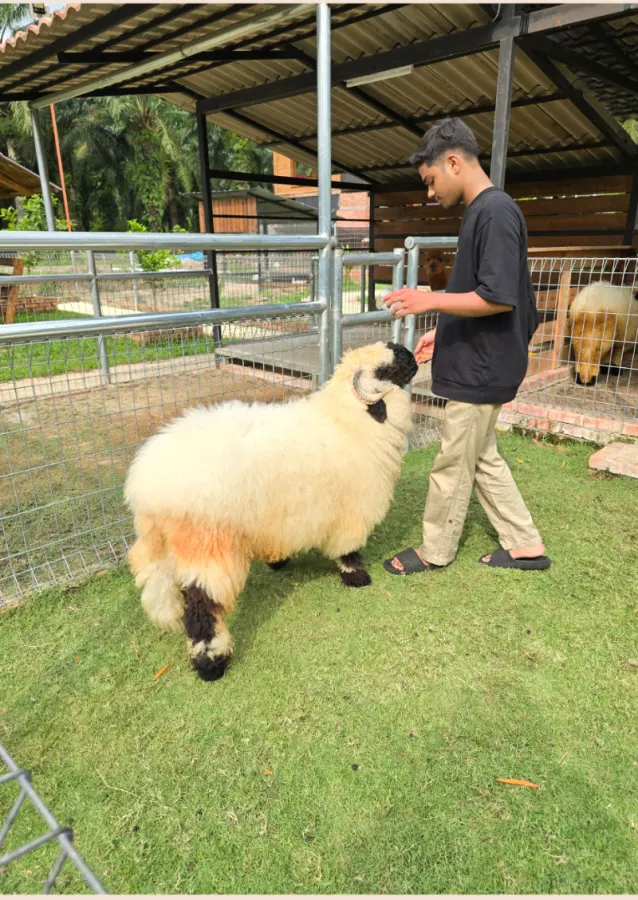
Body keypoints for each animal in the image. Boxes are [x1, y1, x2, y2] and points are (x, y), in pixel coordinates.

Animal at [124, 341, 418, 682]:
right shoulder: (352, 513)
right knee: (202, 607)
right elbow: (348, 549)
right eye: (387, 368)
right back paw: (211, 663)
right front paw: (356, 576)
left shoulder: (282, 520)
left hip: (161, 545)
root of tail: (149, 486)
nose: (415, 358)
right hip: (208, 546)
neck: (347, 422)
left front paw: (279, 562)